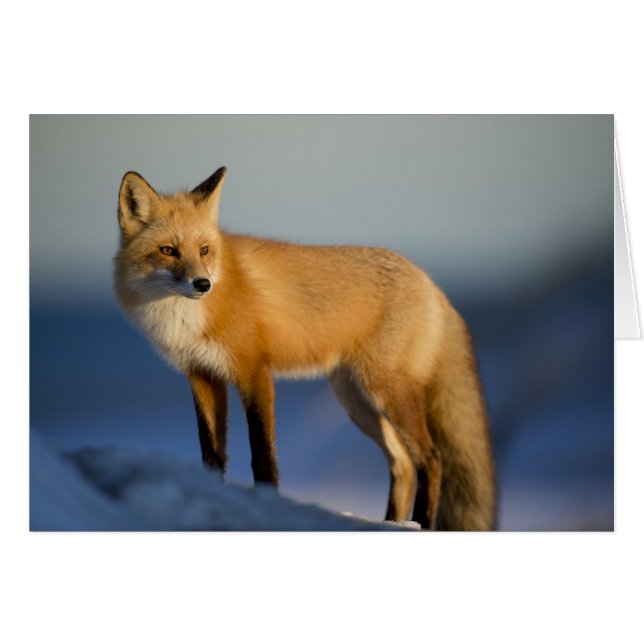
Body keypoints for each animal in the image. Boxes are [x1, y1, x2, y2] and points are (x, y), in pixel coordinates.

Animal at [114, 167, 497, 530]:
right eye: (168, 250)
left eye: (204, 250)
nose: (203, 284)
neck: (185, 317)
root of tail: (431, 283)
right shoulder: (202, 375)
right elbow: (211, 454)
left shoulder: (254, 372)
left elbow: (262, 455)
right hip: (356, 400)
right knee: (402, 462)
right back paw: (393, 523)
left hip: (387, 391)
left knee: (431, 459)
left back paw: (421, 523)